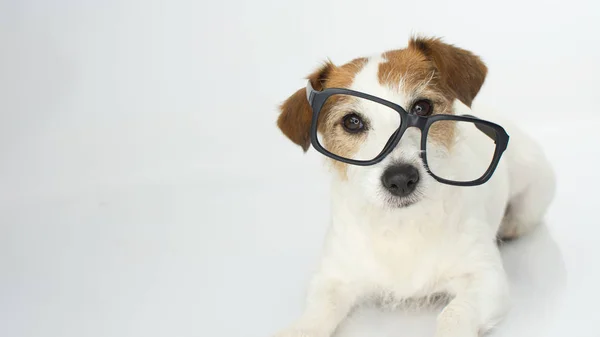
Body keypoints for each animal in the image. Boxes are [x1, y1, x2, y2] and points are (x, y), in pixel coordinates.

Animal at [274, 36, 556, 336]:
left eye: (422, 107)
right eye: (352, 122)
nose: (400, 179)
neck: (403, 225)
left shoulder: (486, 279)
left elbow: (453, 316)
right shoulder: (332, 278)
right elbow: (315, 315)